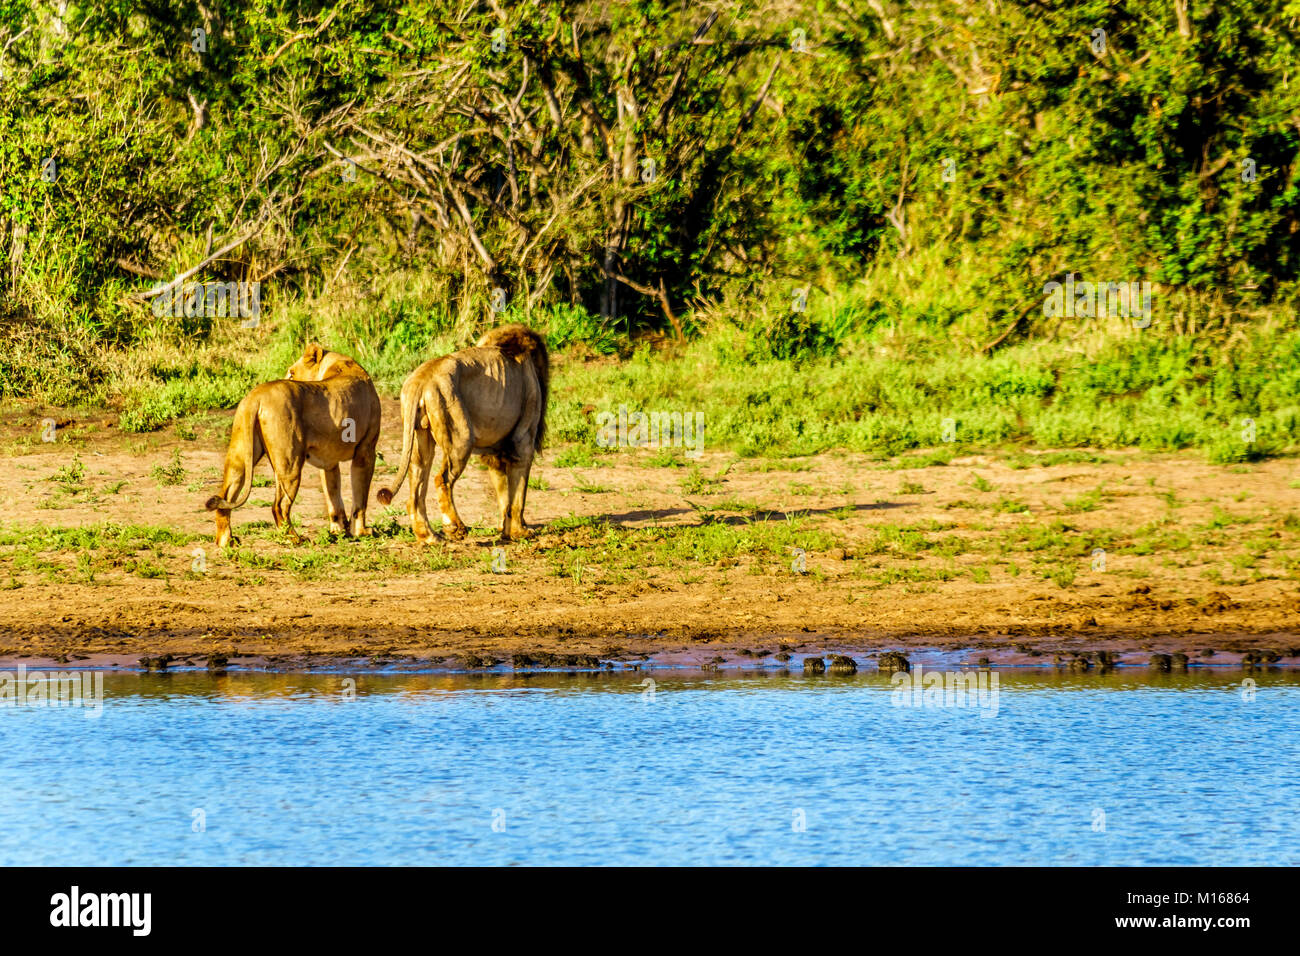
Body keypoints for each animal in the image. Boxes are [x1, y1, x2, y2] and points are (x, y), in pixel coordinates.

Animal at [205, 345, 379, 548]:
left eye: (292, 373)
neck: (337, 363)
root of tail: (257, 395)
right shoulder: (366, 451)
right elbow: (360, 499)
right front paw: (361, 532)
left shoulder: (329, 462)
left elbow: (333, 497)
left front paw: (338, 531)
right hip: (290, 463)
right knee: (279, 505)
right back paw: (295, 539)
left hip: (240, 456)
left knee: (226, 496)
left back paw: (226, 541)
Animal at [379, 325, 553, 541]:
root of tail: (421, 379)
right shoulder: (523, 441)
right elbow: (518, 494)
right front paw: (520, 531)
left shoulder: (494, 452)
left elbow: (504, 492)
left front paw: (505, 530)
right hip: (460, 438)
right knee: (442, 480)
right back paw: (456, 527)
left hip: (420, 439)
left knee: (416, 489)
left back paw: (429, 537)